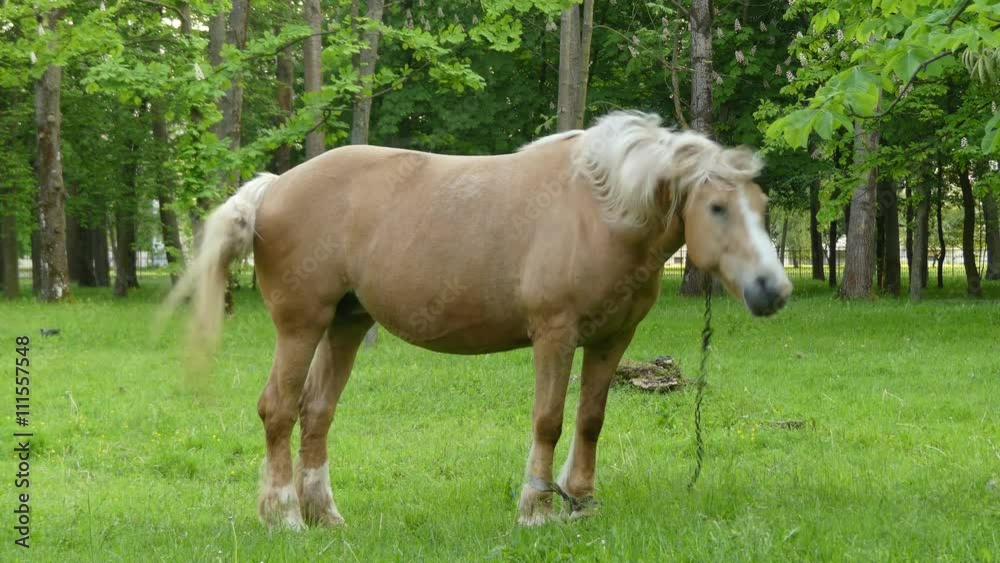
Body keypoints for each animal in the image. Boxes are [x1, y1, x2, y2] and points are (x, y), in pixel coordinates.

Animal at [162, 111, 792, 529]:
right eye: (717, 207)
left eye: (762, 209)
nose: (773, 289)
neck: (600, 211)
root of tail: (274, 187)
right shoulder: (555, 335)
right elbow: (549, 421)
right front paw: (536, 508)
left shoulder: (612, 339)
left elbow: (590, 420)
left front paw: (581, 502)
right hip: (301, 326)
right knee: (278, 410)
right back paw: (285, 518)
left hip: (344, 325)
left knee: (316, 414)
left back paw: (327, 517)